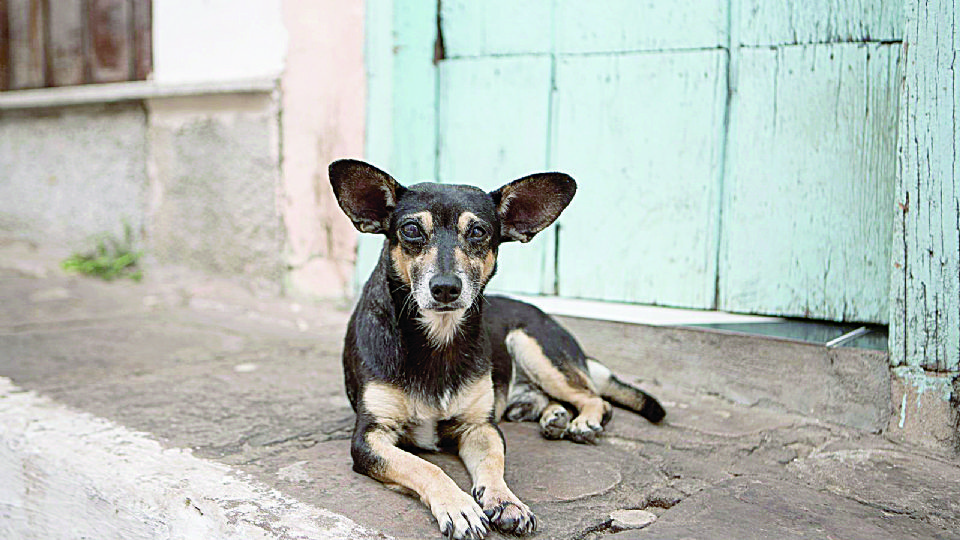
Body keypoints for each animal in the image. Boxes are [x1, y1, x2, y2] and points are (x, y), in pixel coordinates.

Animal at [328, 160, 660, 540]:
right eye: (411, 230)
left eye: (478, 232)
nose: (446, 287)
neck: (439, 338)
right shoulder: (370, 438)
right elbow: (424, 466)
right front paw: (458, 506)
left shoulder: (481, 428)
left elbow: (493, 463)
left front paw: (506, 501)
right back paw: (555, 418)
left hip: (533, 346)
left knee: (596, 398)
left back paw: (583, 421)